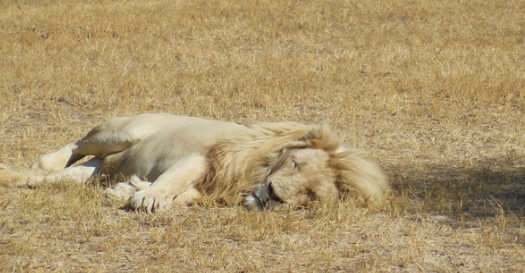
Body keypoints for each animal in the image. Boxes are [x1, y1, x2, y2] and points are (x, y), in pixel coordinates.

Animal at [1, 113, 388, 211]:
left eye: (310, 194)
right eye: (295, 164)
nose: (275, 194)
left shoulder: (209, 190)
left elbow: (183, 197)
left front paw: (128, 191)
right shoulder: (205, 157)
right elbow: (172, 180)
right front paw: (147, 197)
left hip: (91, 171)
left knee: (44, 179)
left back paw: (14, 175)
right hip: (120, 132)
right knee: (76, 143)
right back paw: (46, 160)